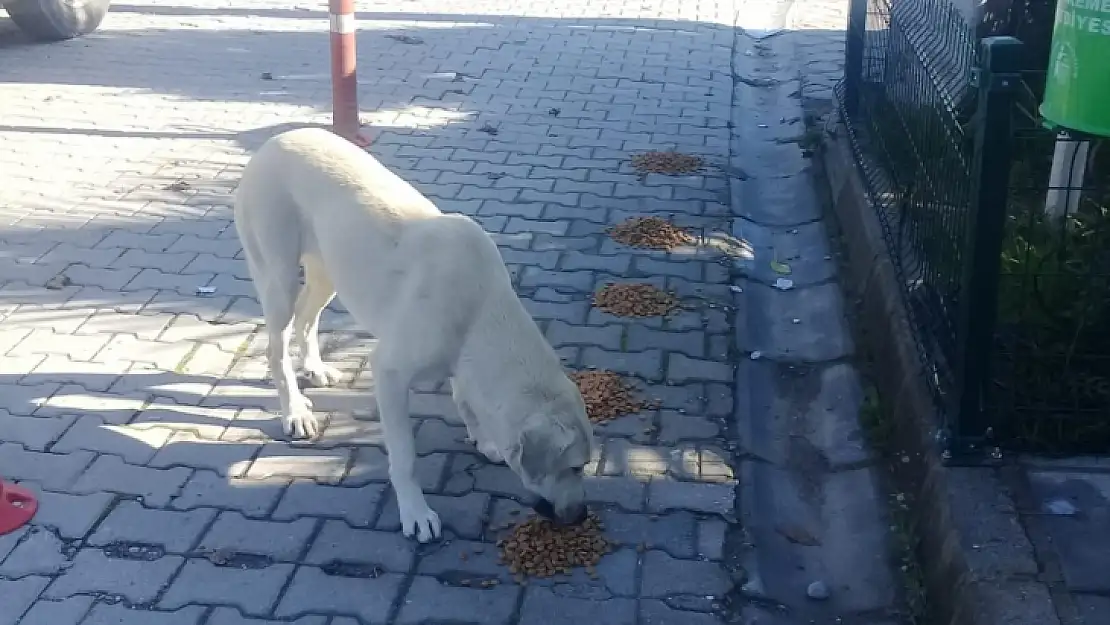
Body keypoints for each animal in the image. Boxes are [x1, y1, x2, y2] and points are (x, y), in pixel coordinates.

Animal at [231, 128, 599, 543]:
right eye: (574, 467)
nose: (582, 515)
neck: (480, 309)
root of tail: (275, 139)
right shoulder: (389, 373)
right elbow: (405, 456)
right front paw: (415, 512)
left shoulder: (462, 360)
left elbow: (465, 398)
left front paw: (484, 439)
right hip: (278, 279)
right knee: (276, 348)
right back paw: (294, 409)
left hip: (329, 273)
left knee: (306, 320)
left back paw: (315, 368)